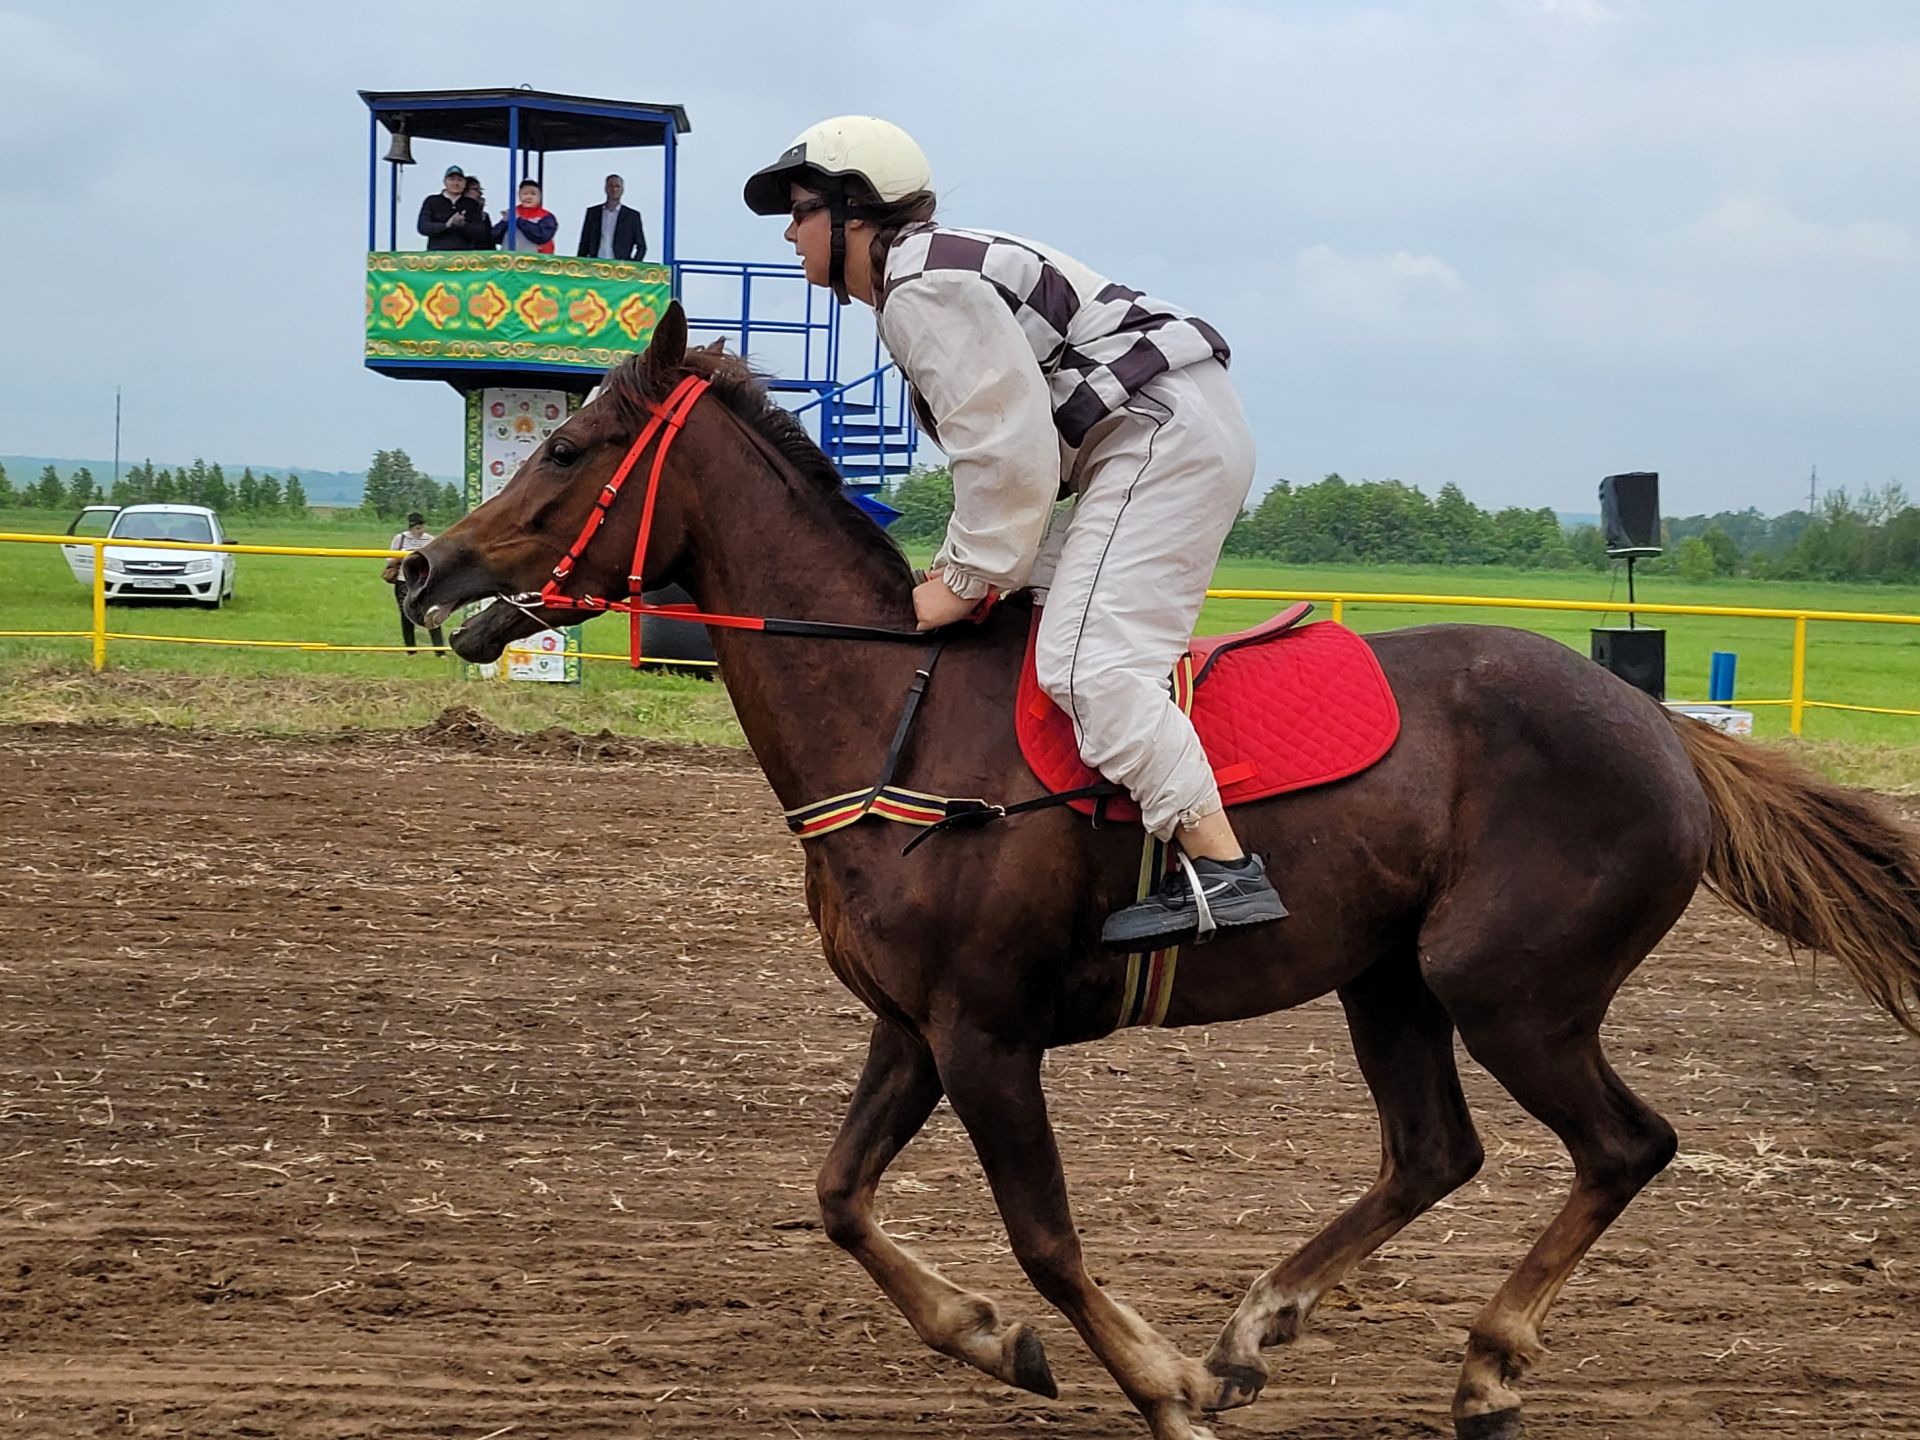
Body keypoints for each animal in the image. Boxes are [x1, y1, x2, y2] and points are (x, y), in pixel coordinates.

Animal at [401, 299, 1920, 1436]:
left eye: (569, 447)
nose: (421, 568)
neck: (900, 715)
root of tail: (1663, 730)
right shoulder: (915, 1026)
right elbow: (838, 1199)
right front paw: (1003, 1339)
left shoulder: (987, 1034)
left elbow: (1047, 1239)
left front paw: (1158, 1384)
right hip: (1390, 981)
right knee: (1435, 1149)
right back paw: (1259, 1325)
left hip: (1509, 988)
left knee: (1625, 1144)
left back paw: (1483, 1362)